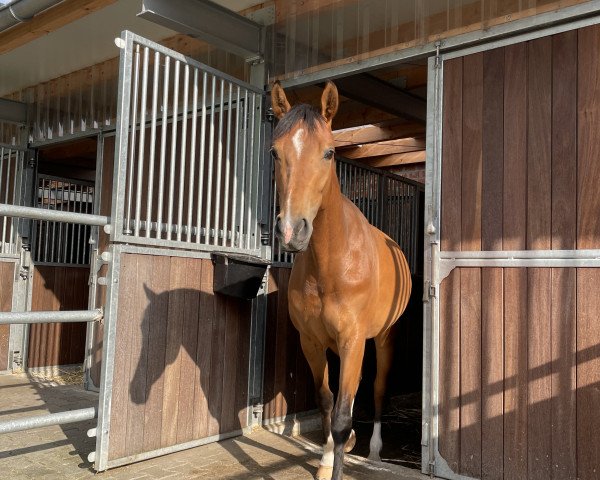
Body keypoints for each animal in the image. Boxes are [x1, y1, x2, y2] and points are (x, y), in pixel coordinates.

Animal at [270, 80, 412, 478]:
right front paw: (326, 458)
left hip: (383, 338)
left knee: (377, 389)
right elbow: (326, 402)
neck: (331, 264)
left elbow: (342, 416)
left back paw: (375, 451)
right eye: (275, 153)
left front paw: (338, 461)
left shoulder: (353, 340)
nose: (292, 231)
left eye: (329, 153)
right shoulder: (312, 341)